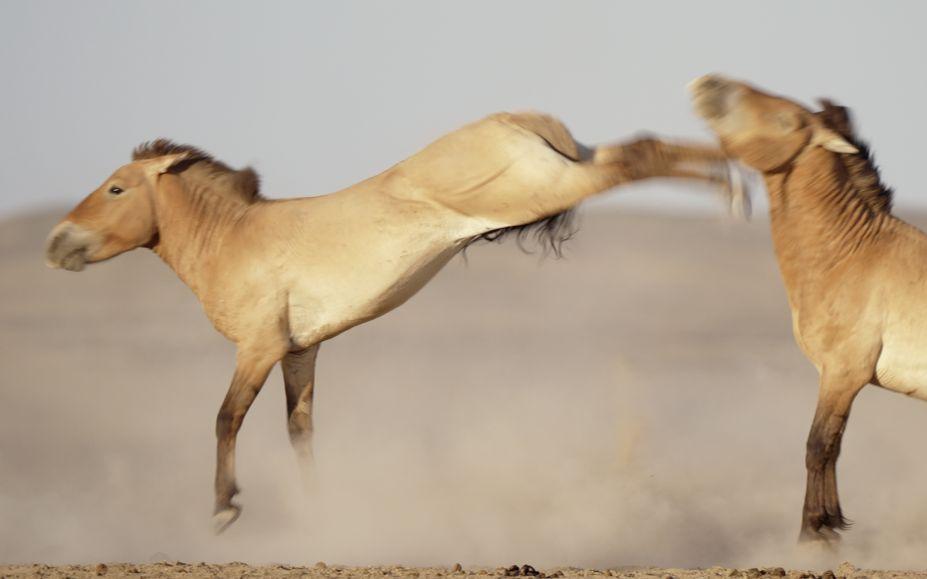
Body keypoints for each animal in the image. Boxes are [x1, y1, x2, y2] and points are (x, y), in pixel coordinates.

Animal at [49, 110, 748, 536]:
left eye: (116, 188)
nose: (58, 244)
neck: (235, 239)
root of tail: (513, 120)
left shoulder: (258, 347)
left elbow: (226, 419)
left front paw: (225, 509)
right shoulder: (301, 351)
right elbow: (299, 430)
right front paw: (320, 516)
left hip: (542, 189)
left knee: (639, 157)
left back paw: (736, 188)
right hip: (563, 172)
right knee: (638, 146)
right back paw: (736, 178)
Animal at [684, 75, 924, 548]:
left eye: (785, 120)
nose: (709, 83)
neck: (853, 253)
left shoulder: (844, 374)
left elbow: (819, 445)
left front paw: (815, 533)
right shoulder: (833, 375)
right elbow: (831, 447)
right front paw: (826, 524)